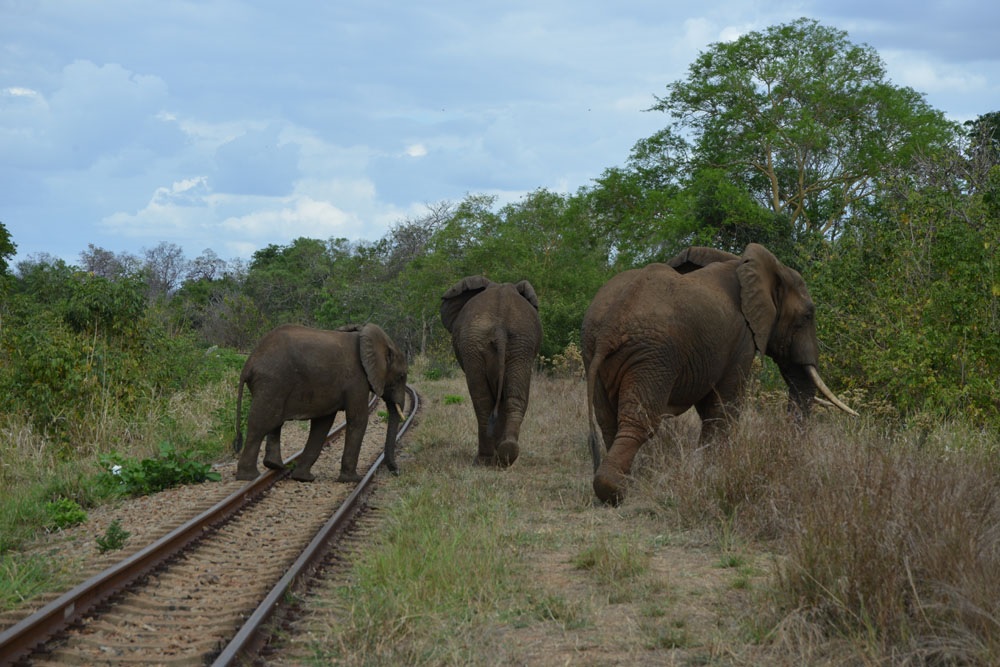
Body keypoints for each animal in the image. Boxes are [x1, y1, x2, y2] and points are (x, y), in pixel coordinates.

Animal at [232, 322, 408, 482]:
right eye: (401, 377)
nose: (396, 471)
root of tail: (249, 363)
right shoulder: (357, 380)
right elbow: (358, 419)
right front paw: (353, 480)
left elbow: (323, 424)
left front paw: (303, 478)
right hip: (272, 382)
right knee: (261, 423)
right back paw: (249, 477)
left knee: (274, 422)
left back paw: (274, 466)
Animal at [442, 274, 544, 468]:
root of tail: (500, 328)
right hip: (520, 345)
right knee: (514, 398)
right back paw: (506, 455)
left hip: (476, 346)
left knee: (482, 402)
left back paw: (484, 460)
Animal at [584, 243, 856, 504]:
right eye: (808, 315)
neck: (743, 263)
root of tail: (609, 329)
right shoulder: (742, 340)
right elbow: (722, 408)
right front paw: (713, 472)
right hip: (654, 357)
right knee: (639, 421)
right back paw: (615, 491)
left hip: (596, 350)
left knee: (607, 419)